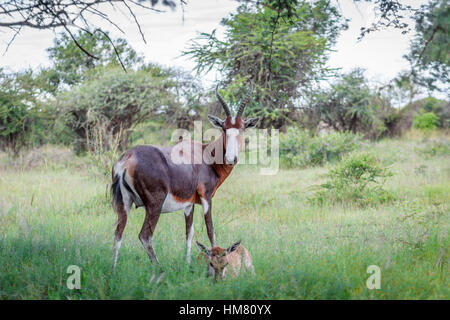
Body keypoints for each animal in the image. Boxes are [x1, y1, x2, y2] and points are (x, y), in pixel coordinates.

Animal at [110, 82, 258, 270]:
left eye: (242, 128)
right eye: (224, 128)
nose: (231, 158)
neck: (204, 154)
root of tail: (128, 159)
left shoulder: (189, 204)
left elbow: (189, 233)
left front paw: (187, 264)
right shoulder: (206, 197)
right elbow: (210, 230)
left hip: (125, 203)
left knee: (118, 233)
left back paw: (114, 270)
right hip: (154, 205)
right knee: (144, 236)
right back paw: (159, 268)